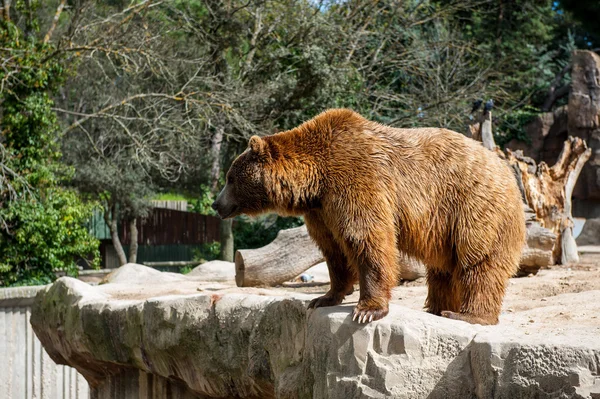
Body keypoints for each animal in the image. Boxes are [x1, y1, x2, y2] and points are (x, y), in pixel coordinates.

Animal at [212, 108, 524, 324]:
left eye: (230, 178)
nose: (216, 204)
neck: (315, 180)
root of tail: (507, 171)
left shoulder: (356, 180)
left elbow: (367, 238)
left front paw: (367, 310)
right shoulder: (321, 211)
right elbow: (334, 250)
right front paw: (323, 298)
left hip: (475, 208)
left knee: (479, 263)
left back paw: (468, 315)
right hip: (446, 229)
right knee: (443, 271)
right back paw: (436, 308)